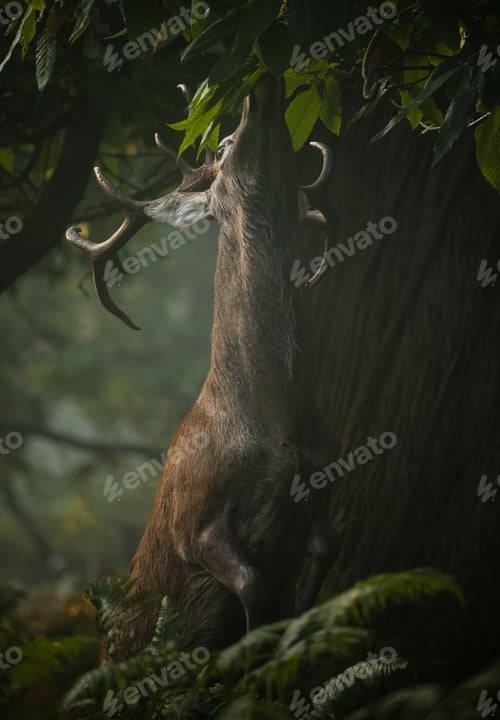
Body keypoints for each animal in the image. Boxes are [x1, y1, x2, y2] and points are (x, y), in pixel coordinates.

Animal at [66, 74, 339, 659]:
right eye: (224, 143)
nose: (258, 87)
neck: (278, 424)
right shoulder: (195, 521)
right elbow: (254, 588)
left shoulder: (322, 490)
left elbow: (326, 553)